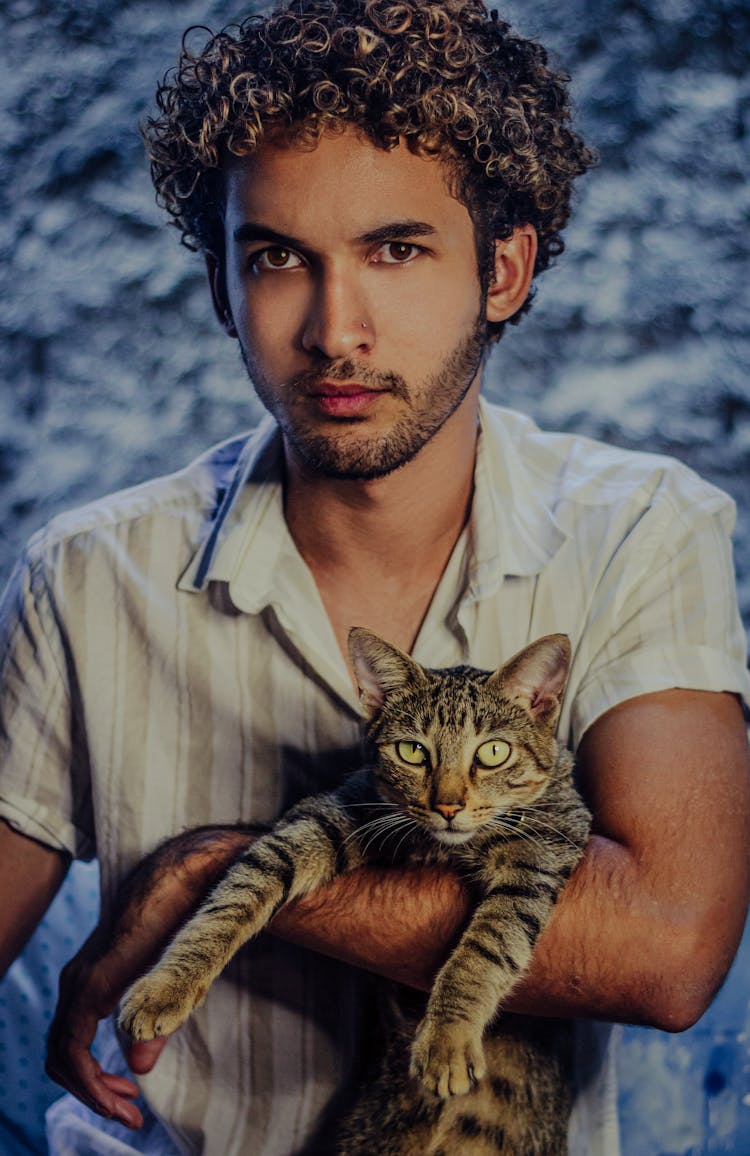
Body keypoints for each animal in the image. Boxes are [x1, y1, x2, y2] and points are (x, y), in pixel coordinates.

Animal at [120, 633, 591, 1156]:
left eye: (492, 752)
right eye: (412, 751)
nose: (448, 806)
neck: (441, 847)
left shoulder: (541, 855)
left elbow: (486, 948)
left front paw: (447, 1038)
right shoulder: (330, 815)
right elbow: (239, 889)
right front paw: (169, 984)